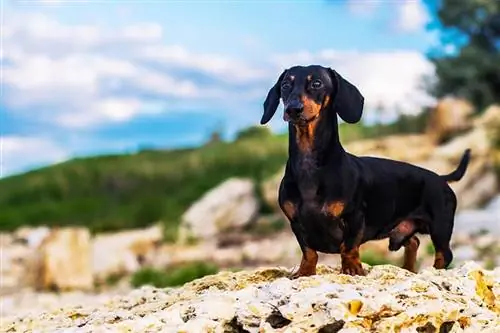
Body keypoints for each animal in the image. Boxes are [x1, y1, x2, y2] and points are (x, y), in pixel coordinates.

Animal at [260, 64, 470, 274]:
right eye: (285, 85)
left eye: (317, 83)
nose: (293, 109)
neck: (310, 165)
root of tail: (441, 177)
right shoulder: (296, 223)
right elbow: (309, 252)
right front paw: (304, 272)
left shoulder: (355, 217)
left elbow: (348, 247)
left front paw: (352, 269)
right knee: (414, 242)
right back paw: (408, 269)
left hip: (440, 226)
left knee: (444, 254)